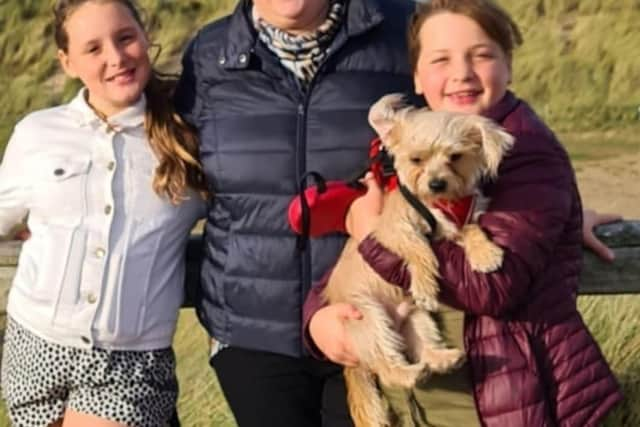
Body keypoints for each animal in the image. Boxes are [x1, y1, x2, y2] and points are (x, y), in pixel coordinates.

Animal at [322, 94, 512, 427]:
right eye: (416, 160)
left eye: (455, 156)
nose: (436, 184)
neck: (441, 204)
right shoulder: (395, 230)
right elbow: (420, 249)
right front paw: (424, 283)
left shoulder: (457, 224)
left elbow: (472, 229)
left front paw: (486, 254)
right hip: (371, 318)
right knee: (388, 367)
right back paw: (409, 372)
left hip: (415, 318)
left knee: (423, 349)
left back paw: (444, 358)